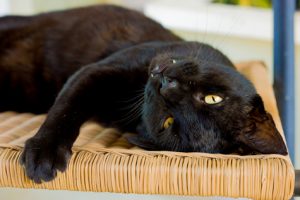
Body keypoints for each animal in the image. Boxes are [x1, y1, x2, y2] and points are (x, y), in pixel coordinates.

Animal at [0, 5, 288, 183]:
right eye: (213, 98)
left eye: (169, 122)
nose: (167, 83)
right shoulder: (95, 71)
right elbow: (66, 111)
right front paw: (45, 151)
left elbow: (69, 109)